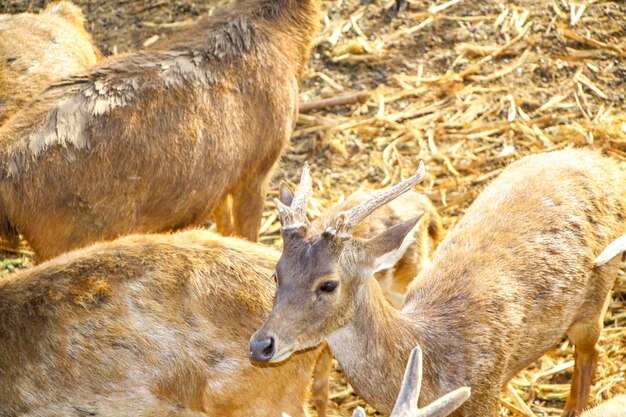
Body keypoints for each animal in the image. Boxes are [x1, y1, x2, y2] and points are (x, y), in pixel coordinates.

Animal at [249, 149, 624, 416]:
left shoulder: (486, 393)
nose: (260, 345)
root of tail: (605, 164)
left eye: (328, 284)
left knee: (589, 353)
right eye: (277, 273)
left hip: (596, 295)